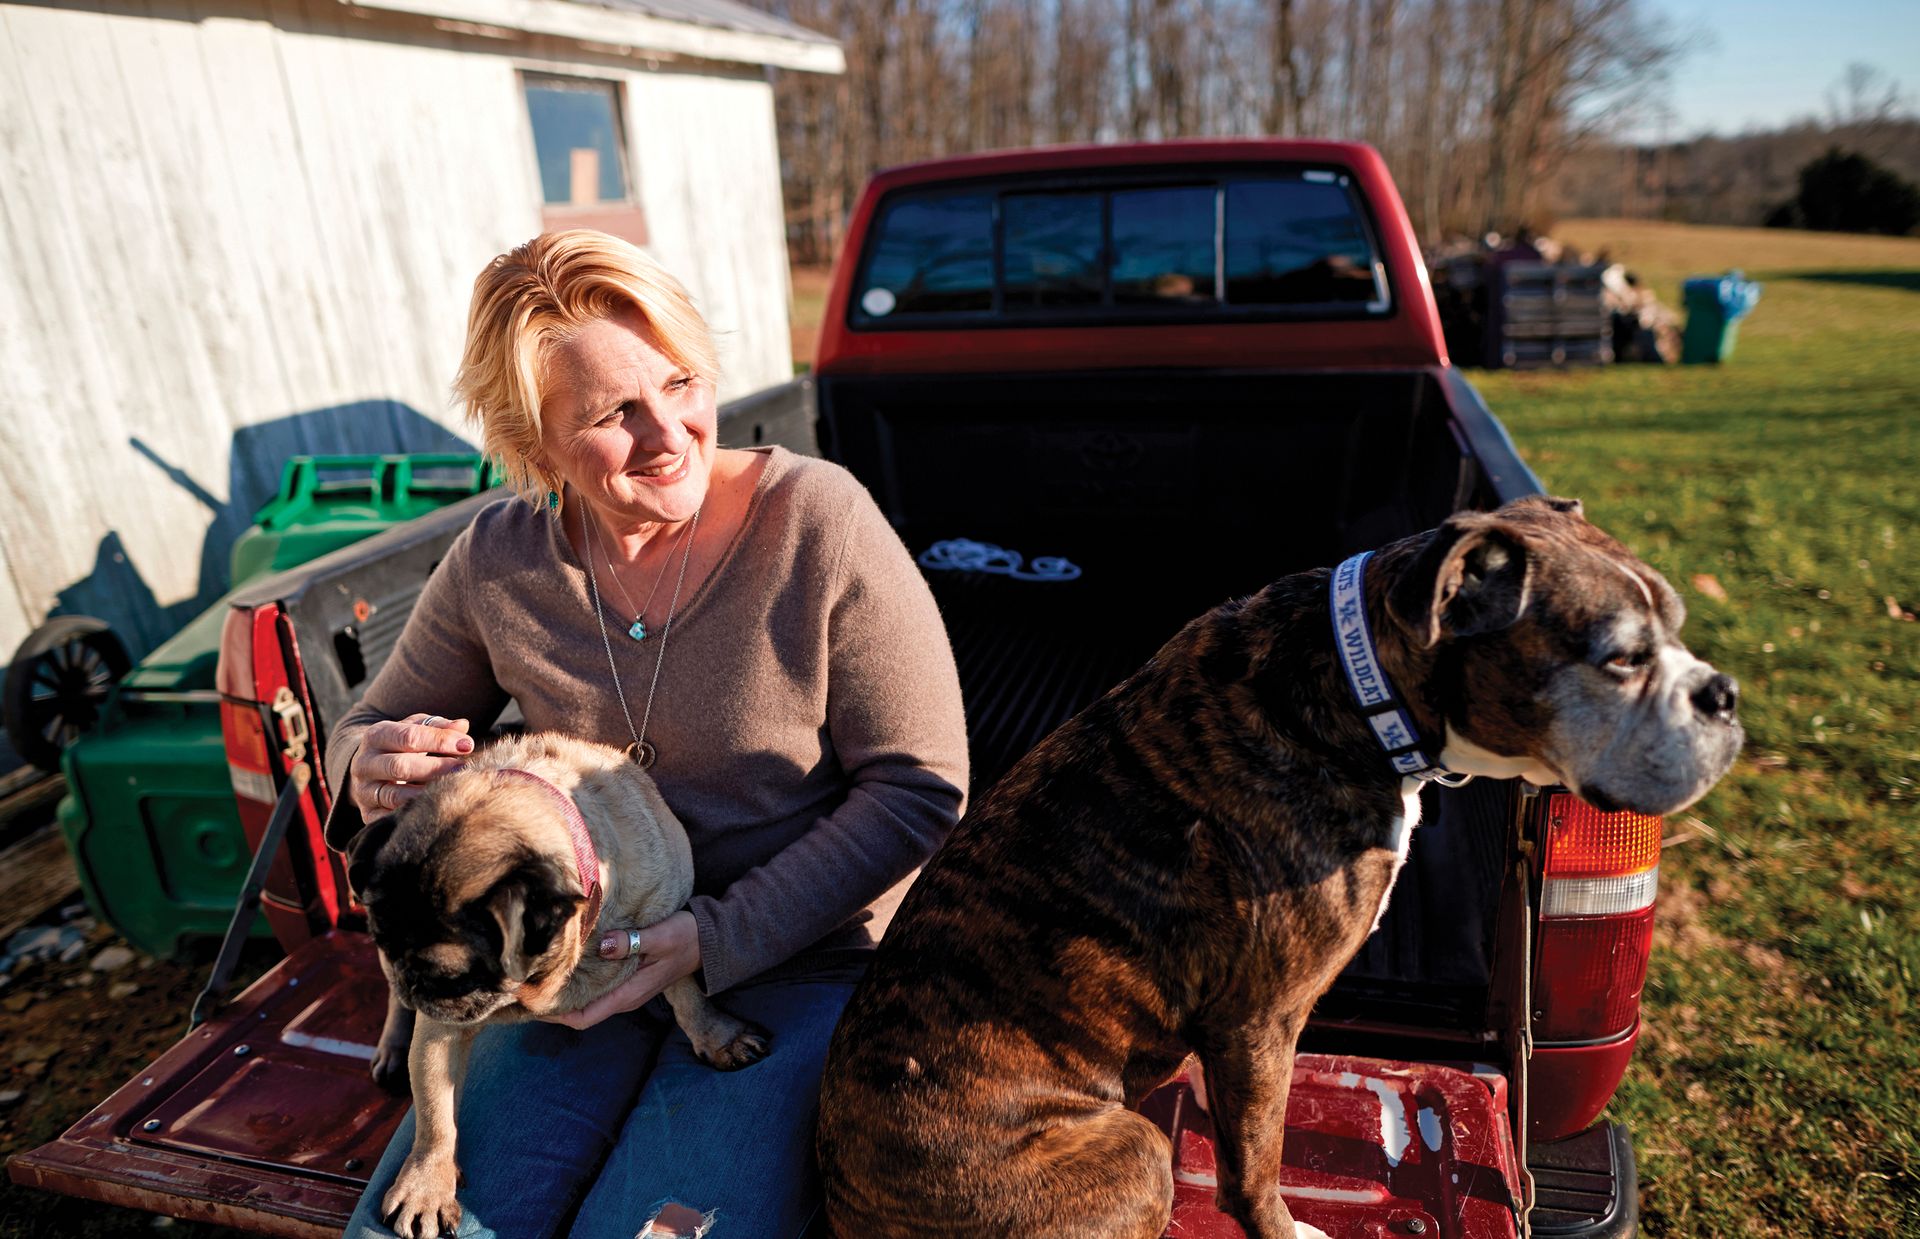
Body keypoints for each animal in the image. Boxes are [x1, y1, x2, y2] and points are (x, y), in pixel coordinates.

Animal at [349, 733, 768, 1237]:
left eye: (451, 975)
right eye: (383, 940)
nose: (412, 980)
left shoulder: (665, 920)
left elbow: (685, 988)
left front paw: (716, 1035)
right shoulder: (438, 1030)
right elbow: (435, 1113)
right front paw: (426, 1186)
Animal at [817, 495, 1751, 1237]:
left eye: (1677, 626)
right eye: (1620, 658)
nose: (1724, 692)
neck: (1356, 687)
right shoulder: (1260, 1021)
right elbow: (1256, 1168)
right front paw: (1282, 1223)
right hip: (1133, 1147)